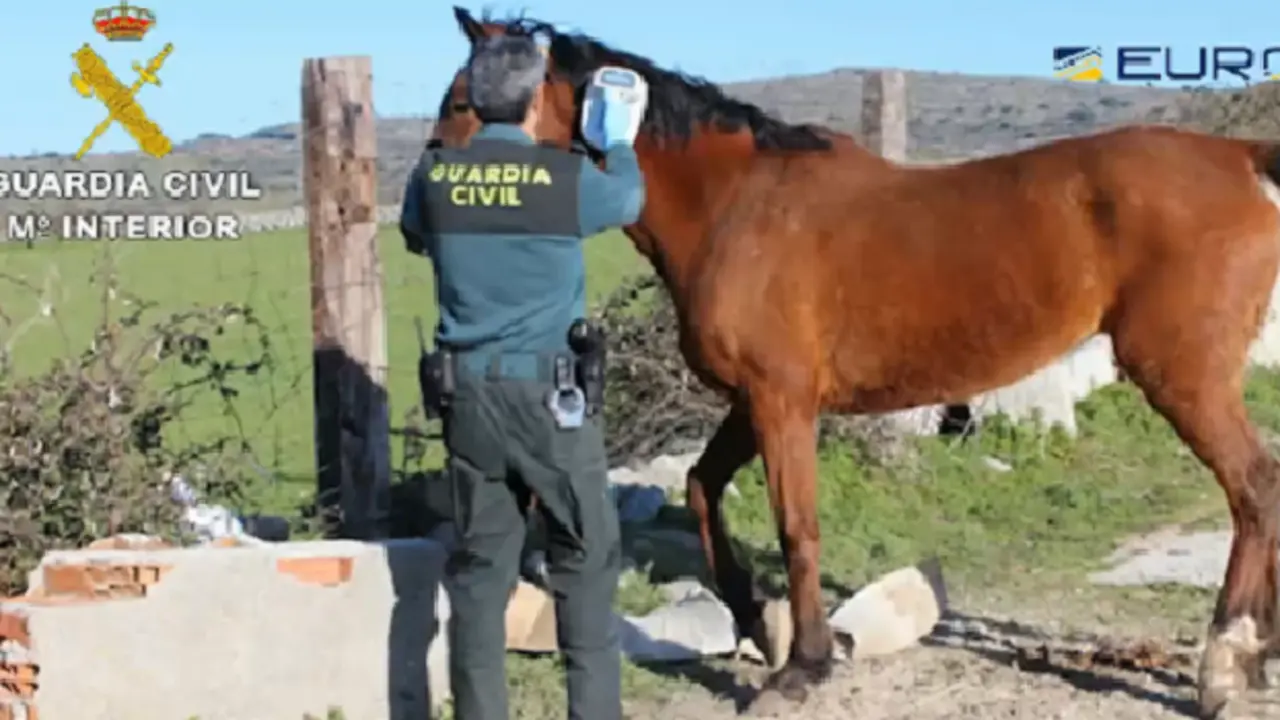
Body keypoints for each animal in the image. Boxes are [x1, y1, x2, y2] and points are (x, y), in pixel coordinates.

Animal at [434, 8, 1280, 717]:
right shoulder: (754, 400)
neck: (734, 203)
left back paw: (1224, 662)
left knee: (1252, 487)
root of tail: (1241, 159)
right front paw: (758, 623)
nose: (429, 200)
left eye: (463, 102)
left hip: (1182, 375)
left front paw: (803, 666)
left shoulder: (781, 401)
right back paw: (1259, 658)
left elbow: (796, 526)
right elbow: (704, 488)